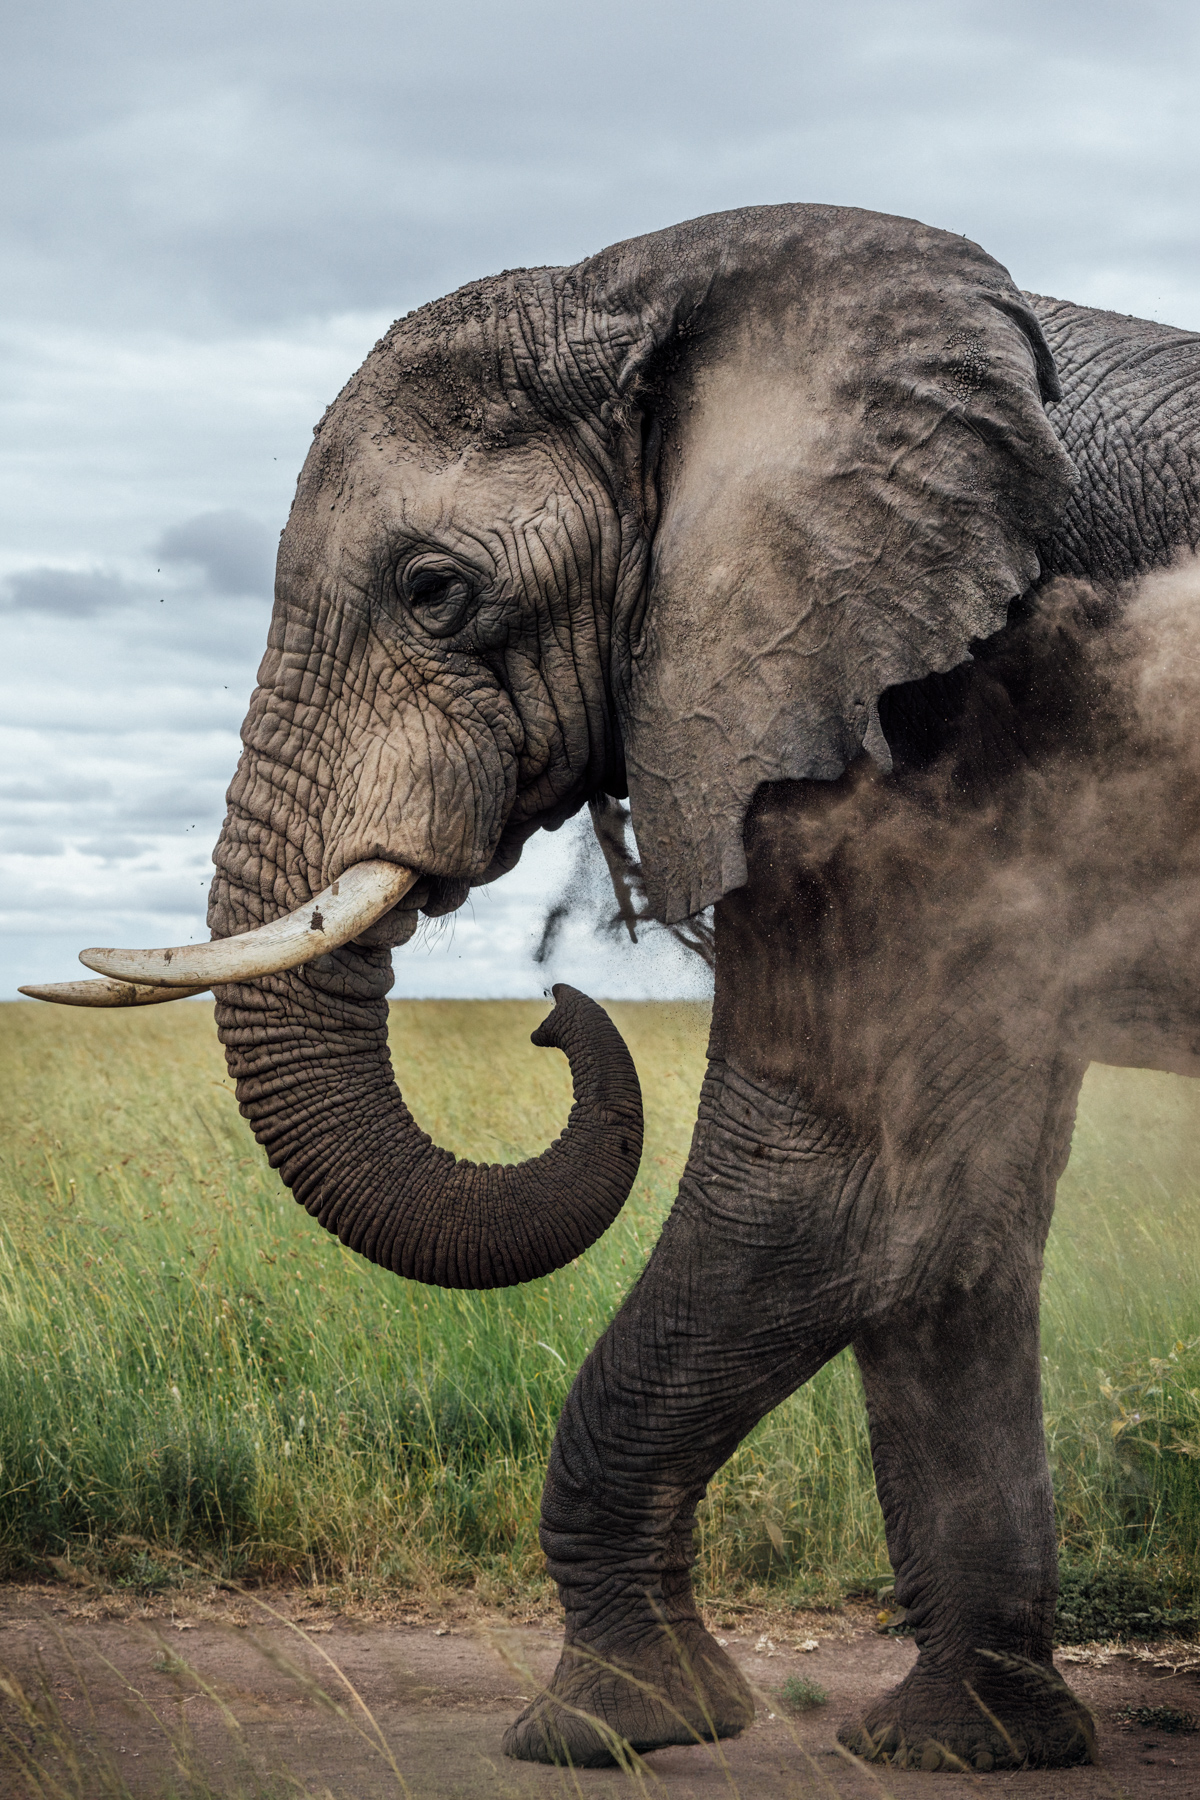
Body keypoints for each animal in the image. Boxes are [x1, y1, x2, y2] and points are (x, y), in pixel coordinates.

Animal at [26, 203, 1200, 1773]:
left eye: (436, 592)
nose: (553, 1012)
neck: (665, 303)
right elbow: (952, 1232)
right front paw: (963, 1750)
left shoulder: (913, 731)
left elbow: (835, 1199)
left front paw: (608, 1726)